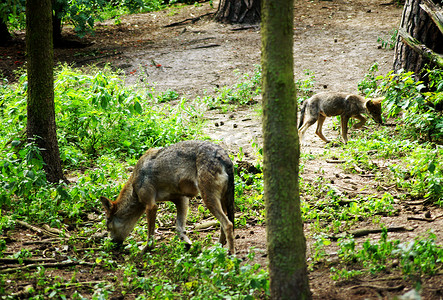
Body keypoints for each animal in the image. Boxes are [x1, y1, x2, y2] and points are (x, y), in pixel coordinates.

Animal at [100, 141, 236, 255]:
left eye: (108, 227)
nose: (111, 243)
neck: (134, 185)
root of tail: (224, 156)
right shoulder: (182, 200)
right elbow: (179, 227)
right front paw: (187, 244)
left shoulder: (151, 206)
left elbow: (150, 236)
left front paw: (144, 250)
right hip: (221, 202)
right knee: (224, 224)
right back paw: (217, 249)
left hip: (208, 199)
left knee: (228, 224)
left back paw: (231, 253)